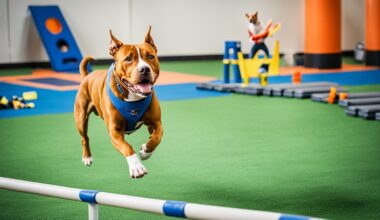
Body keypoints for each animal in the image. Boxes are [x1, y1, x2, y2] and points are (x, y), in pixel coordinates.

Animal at [73, 26, 163, 179]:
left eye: (151, 56)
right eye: (128, 59)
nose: (144, 69)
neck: (133, 96)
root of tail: (88, 75)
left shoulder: (156, 122)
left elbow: (157, 137)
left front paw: (146, 150)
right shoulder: (114, 131)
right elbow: (127, 147)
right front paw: (136, 166)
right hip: (81, 118)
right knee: (84, 138)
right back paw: (87, 157)